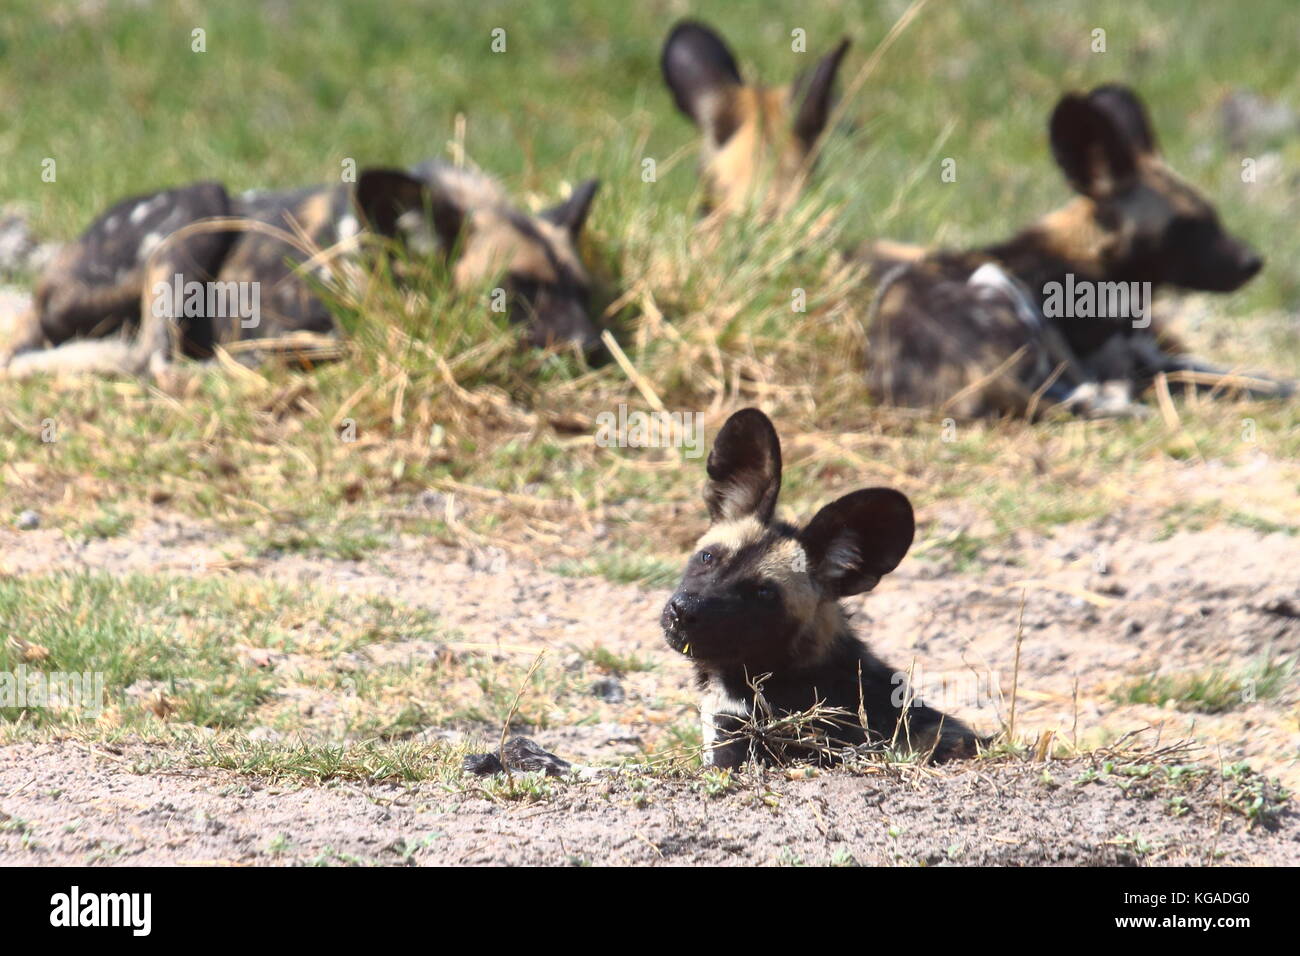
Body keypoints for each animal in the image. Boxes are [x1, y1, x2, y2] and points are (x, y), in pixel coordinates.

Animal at [863, 85, 1289, 418]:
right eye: (1186, 227)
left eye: (1213, 216)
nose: (1253, 262)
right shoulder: (1126, 364)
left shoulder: (1152, 359)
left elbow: (1247, 375)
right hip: (1002, 286)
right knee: (1087, 399)